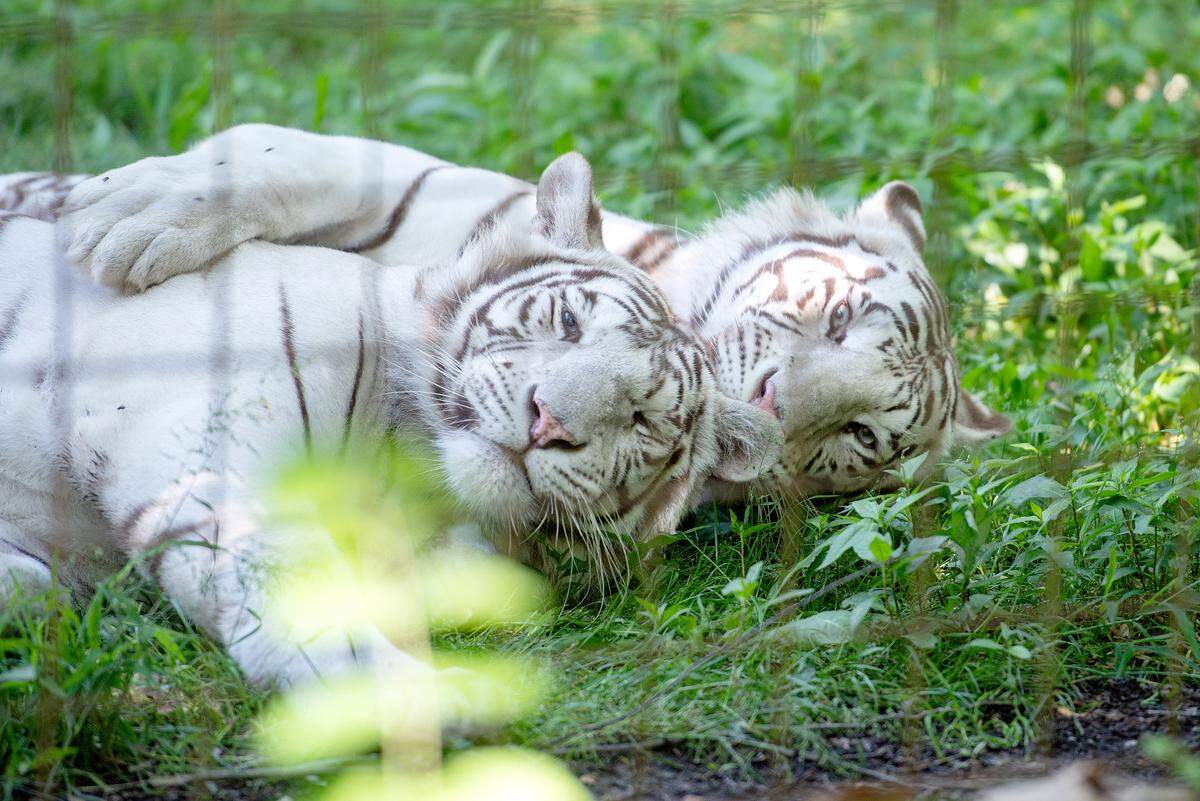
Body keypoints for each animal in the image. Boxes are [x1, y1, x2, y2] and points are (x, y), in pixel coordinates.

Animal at [0, 152, 780, 688]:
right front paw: (379, 682)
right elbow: (278, 557)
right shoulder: (196, 434)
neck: (403, 456)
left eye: (643, 420)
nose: (549, 421)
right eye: (568, 323)